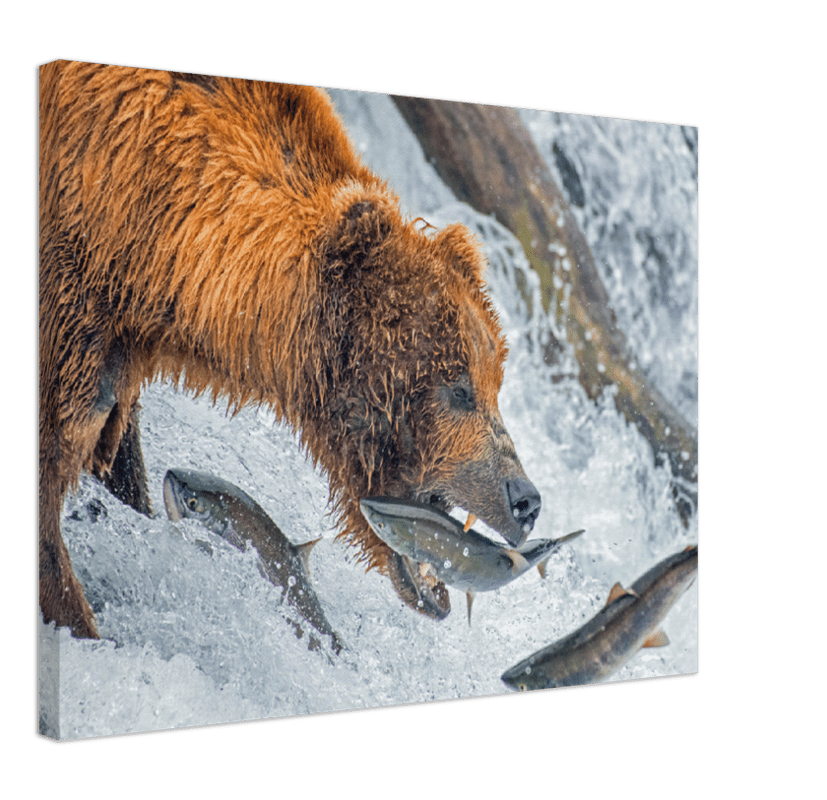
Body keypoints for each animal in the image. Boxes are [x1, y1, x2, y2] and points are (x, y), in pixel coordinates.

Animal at [38, 59, 542, 640]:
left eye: (494, 380)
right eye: (458, 388)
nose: (525, 498)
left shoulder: (113, 343)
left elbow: (116, 457)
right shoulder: (72, 302)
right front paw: (80, 616)